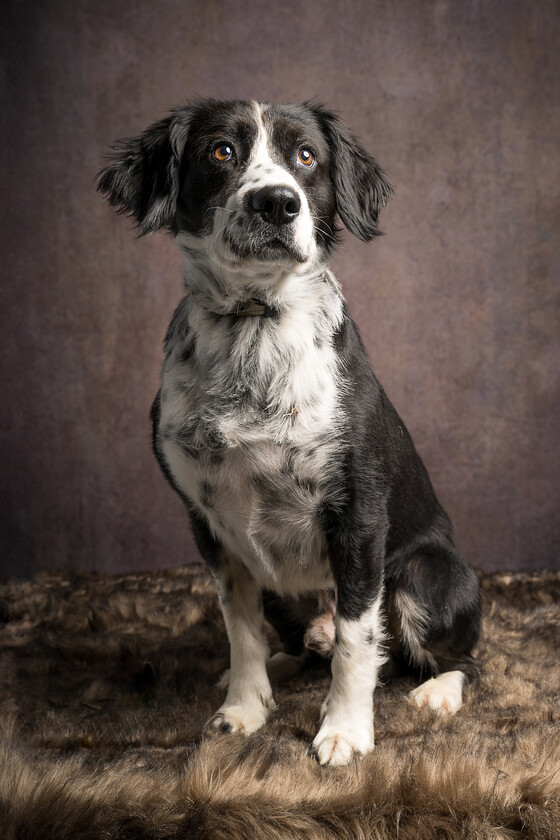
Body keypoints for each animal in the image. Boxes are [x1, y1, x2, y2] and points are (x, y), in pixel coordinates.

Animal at [98, 100, 484, 768]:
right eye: (221, 151)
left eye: (306, 156)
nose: (276, 202)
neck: (254, 324)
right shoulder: (210, 526)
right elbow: (240, 628)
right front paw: (245, 707)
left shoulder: (358, 518)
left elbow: (358, 640)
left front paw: (346, 732)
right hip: (284, 588)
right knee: (301, 643)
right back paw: (278, 665)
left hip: (426, 577)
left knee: (457, 657)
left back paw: (437, 692)